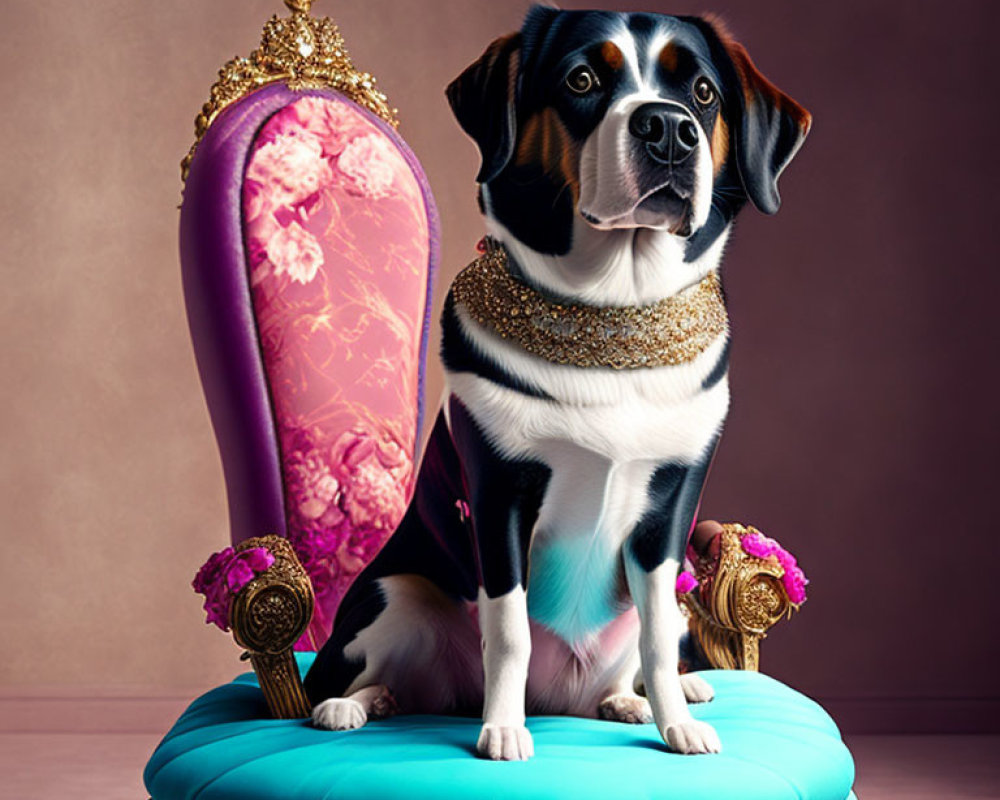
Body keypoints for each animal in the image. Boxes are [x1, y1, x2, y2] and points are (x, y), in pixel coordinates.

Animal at [300, 3, 808, 760]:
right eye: (582, 79)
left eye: (703, 93)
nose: (667, 128)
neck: (614, 319)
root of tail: (558, 699)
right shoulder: (498, 494)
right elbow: (507, 630)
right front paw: (502, 730)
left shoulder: (670, 508)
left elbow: (659, 637)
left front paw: (674, 724)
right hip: (398, 592)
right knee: (372, 673)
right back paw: (356, 705)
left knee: (643, 651)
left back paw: (631, 701)